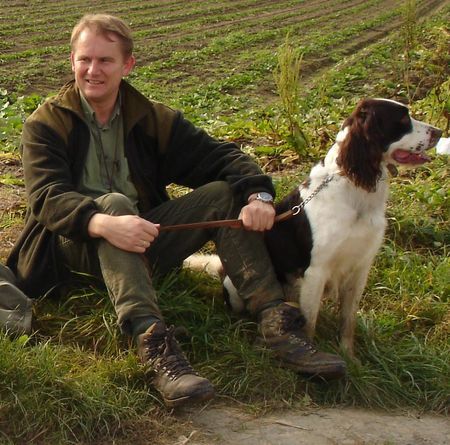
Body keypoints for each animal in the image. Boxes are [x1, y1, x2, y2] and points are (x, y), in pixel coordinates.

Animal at [185, 98, 440, 358]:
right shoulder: (316, 271)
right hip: (235, 288)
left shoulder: (360, 268)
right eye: (402, 120)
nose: (439, 132)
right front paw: (310, 350)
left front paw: (349, 357)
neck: (354, 190)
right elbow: (310, 323)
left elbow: (347, 322)